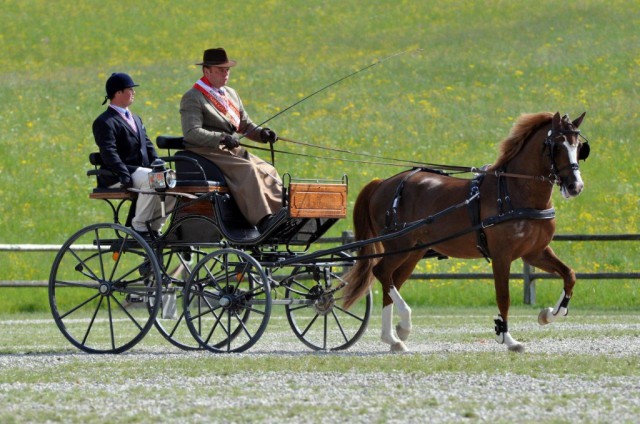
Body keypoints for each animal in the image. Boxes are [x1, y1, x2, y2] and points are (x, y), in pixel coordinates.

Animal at [344, 112, 592, 352]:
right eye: (557, 146)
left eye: (579, 147)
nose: (576, 186)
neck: (514, 192)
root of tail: (382, 183)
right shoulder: (501, 255)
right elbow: (504, 296)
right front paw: (507, 338)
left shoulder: (534, 252)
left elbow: (569, 275)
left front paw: (549, 314)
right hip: (399, 245)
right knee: (381, 273)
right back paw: (404, 323)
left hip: (413, 251)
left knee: (390, 280)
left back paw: (394, 338)